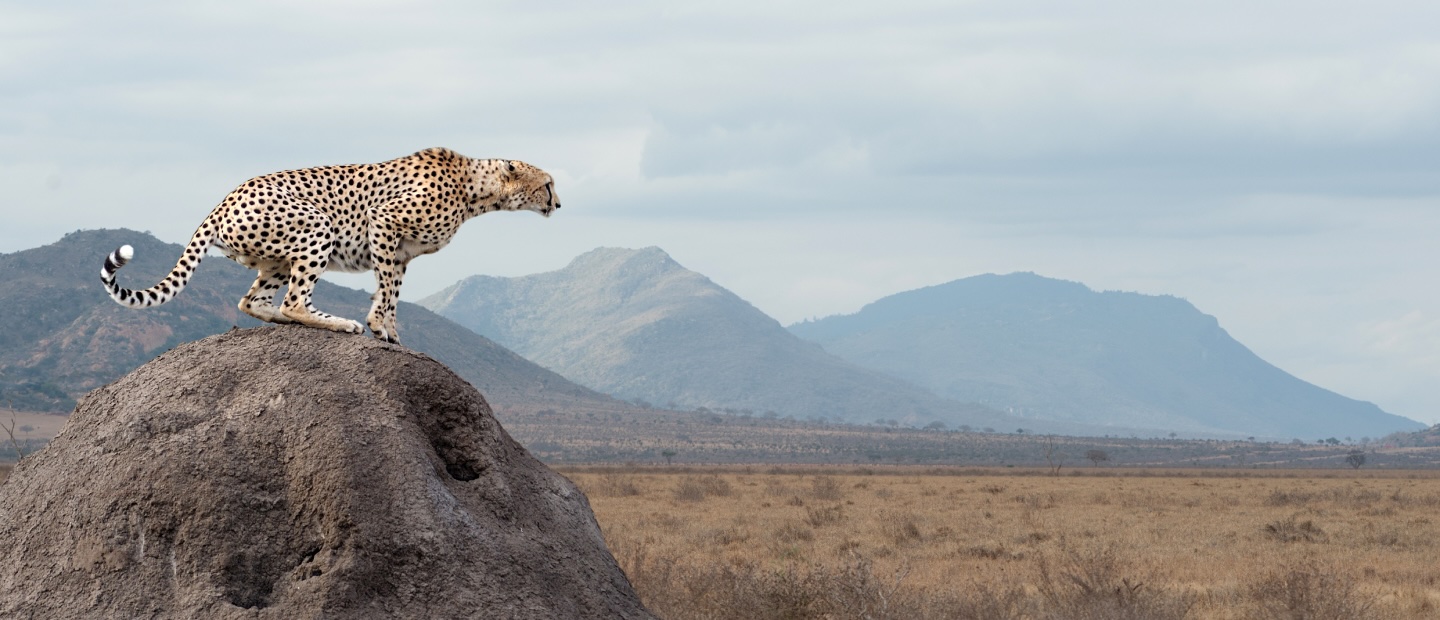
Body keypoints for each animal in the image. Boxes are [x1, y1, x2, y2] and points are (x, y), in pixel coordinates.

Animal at [100, 147, 559, 344]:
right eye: (548, 184)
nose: (558, 203)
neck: (475, 190)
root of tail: (225, 198)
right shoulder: (384, 222)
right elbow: (386, 291)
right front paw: (377, 325)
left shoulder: (402, 253)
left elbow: (393, 292)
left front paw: (392, 332)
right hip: (317, 227)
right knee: (293, 302)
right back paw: (339, 323)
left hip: (275, 259)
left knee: (254, 301)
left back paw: (290, 321)